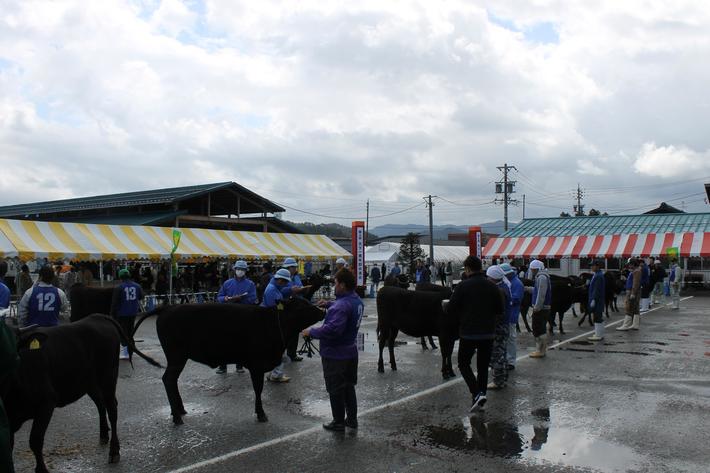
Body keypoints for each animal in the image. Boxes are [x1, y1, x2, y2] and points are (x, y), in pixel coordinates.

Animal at [2, 314, 161, 472]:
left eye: (15, 344)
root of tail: (97, 317)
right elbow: (8, 445)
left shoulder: (46, 402)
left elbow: (35, 441)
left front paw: (42, 470)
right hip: (89, 382)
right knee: (100, 403)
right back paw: (104, 433)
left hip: (108, 377)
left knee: (112, 409)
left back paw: (114, 451)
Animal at [132, 296, 324, 422]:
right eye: (301, 306)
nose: (323, 311)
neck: (274, 324)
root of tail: (168, 308)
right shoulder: (256, 365)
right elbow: (258, 389)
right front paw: (261, 414)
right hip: (176, 356)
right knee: (168, 379)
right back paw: (177, 417)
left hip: (178, 358)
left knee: (172, 381)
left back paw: (180, 410)